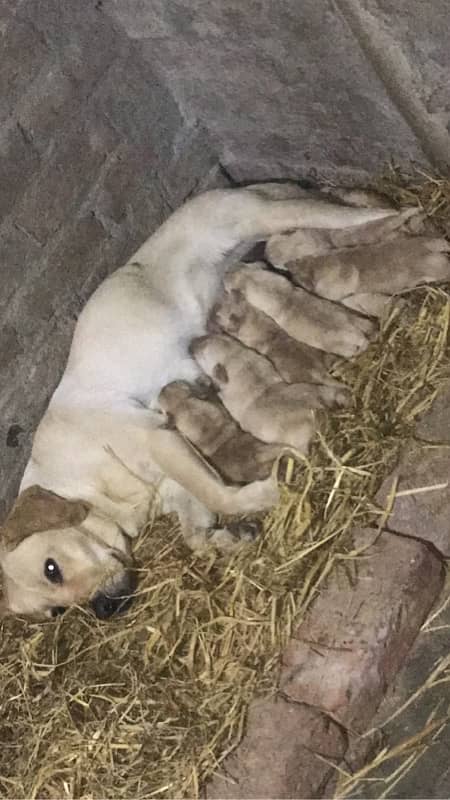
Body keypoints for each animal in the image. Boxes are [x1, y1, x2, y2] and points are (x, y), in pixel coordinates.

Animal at [223, 262, 374, 356]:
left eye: (227, 286)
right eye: (243, 263)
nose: (226, 270)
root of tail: (355, 335)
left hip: (343, 348)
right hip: (352, 316)